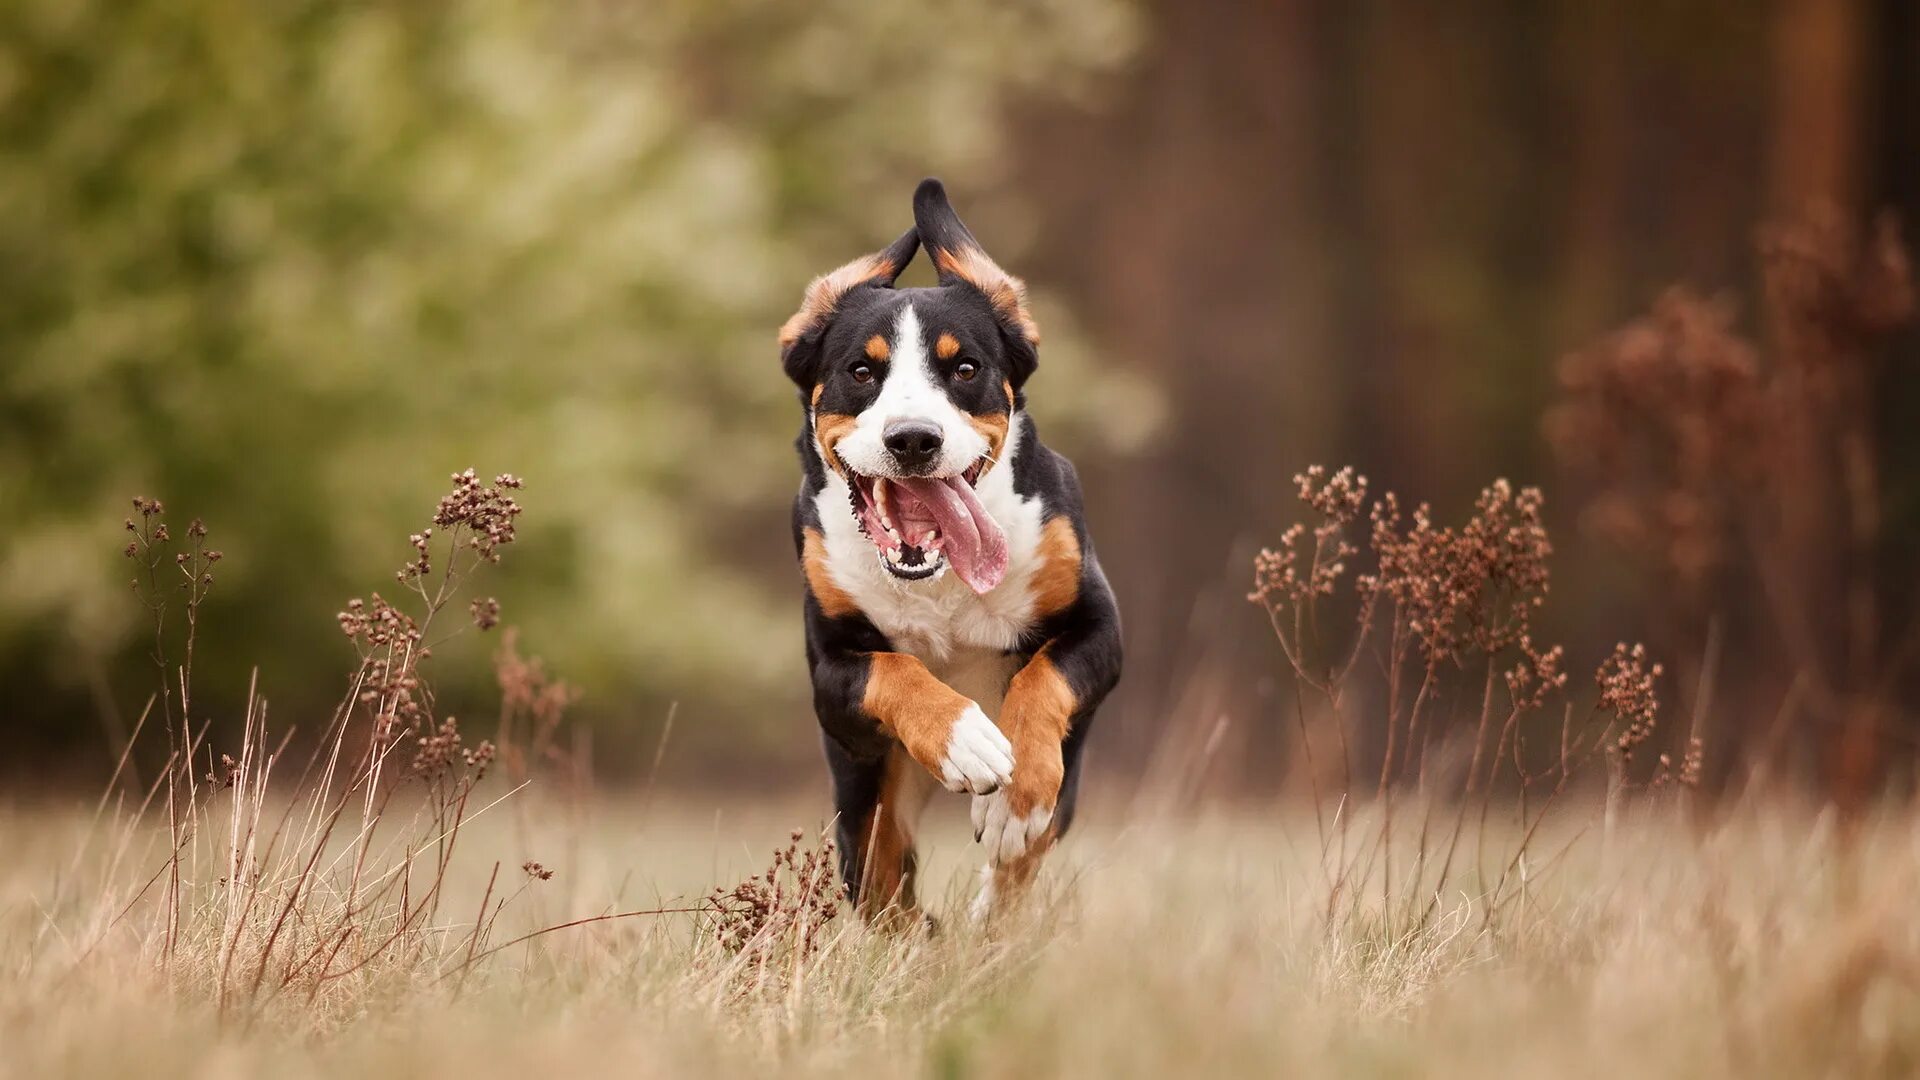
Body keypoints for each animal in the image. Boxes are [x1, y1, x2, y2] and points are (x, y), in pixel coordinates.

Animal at [783, 180, 1121, 922]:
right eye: (861, 371)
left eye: (965, 367)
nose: (914, 437)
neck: (937, 582)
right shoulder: (831, 671)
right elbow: (895, 670)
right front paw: (965, 738)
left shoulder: (1101, 627)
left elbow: (1040, 679)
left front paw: (1012, 796)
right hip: (862, 800)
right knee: (885, 886)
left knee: (1018, 866)